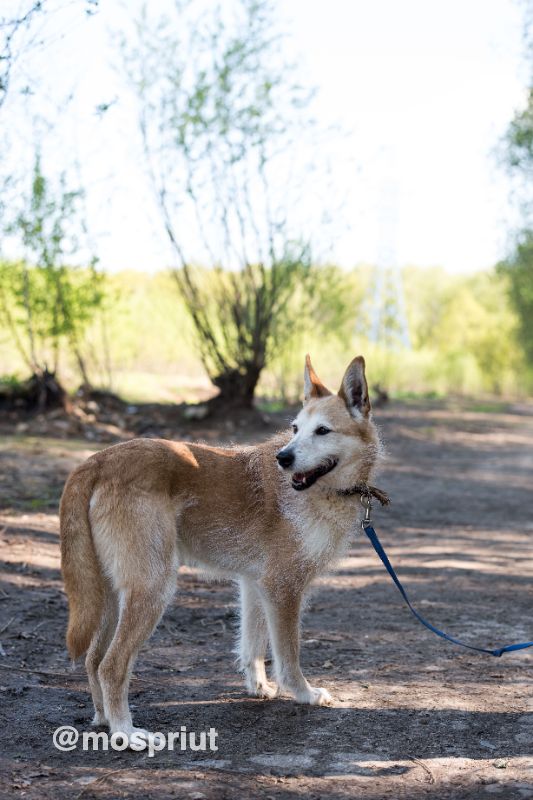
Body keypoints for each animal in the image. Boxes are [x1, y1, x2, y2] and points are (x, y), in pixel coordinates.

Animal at [60, 354, 380, 740]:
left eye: (322, 431)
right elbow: (288, 657)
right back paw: (127, 732)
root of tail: (99, 459)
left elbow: (252, 646)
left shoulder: (256, 586)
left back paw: (104, 720)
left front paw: (258, 688)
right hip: (153, 589)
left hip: (109, 593)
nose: (283, 458)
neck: (324, 492)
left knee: (93, 661)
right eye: (294, 429)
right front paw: (304, 694)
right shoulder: (284, 589)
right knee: (111, 665)